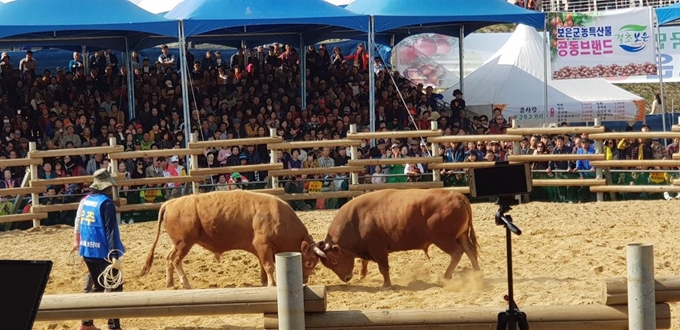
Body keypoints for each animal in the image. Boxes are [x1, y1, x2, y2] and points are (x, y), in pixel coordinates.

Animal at [139, 189, 326, 288]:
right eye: (309, 263)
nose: (304, 281)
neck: (278, 217)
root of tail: (171, 203)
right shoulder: (263, 245)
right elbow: (269, 266)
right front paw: (272, 284)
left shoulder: (260, 249)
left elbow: (263, 266)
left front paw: (264, 282)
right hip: (184, 243)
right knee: (176, 260)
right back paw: (185, 284)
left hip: (178, 243)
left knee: (168, 258)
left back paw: (170, 283)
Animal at [316, 189, 480, 288]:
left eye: (334, 261)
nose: (346, 278)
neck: (355, 221)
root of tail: (457, 195)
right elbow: (364, 261)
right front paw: (363, 274)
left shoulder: (378, 250)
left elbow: (383, 268)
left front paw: (386, 285)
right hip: (461, 236)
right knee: (470, 251)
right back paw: (477, 273)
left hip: (444, 239)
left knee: (457, 253)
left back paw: (446, 277)